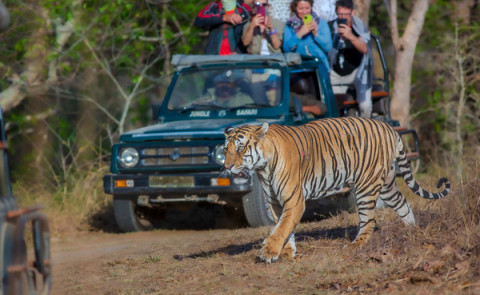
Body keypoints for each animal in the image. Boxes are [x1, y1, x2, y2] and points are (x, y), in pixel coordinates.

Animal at [223, 116, 448, 264]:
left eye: (241, 148)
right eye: (225, 150)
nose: (226, 166)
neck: (263, 168)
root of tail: (388, 127)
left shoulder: (294, 200)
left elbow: (282, 227)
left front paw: (269, 252)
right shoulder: (276, 203)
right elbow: (284, 227)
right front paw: (286, 252)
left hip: (366, 185)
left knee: (369, 220)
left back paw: (356, 244)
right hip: (386, 184)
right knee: (403, 203)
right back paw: (412, 231)